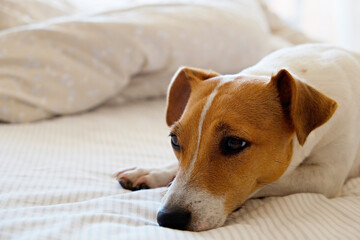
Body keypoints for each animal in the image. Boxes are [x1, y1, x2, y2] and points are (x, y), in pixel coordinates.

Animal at [114, 44, 360, 232]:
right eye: (174, 140)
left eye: (234, 143)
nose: (168, 218)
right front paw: (151, 172)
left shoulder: (327, 177)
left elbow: (271, 182)